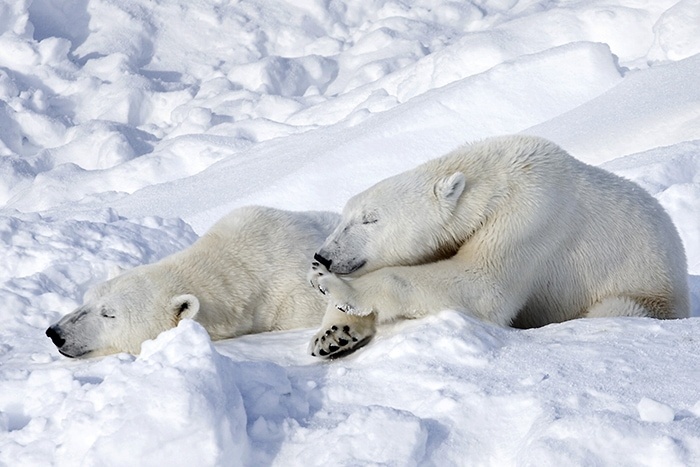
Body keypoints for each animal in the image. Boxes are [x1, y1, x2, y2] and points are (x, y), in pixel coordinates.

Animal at [308, 134, 688, 358]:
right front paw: (332, 334)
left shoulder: (529, 218)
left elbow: (482, 286)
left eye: (370, 219)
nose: (322, 256)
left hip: (646, 296)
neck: (497, 178)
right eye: (343, 217)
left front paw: (335, 287)